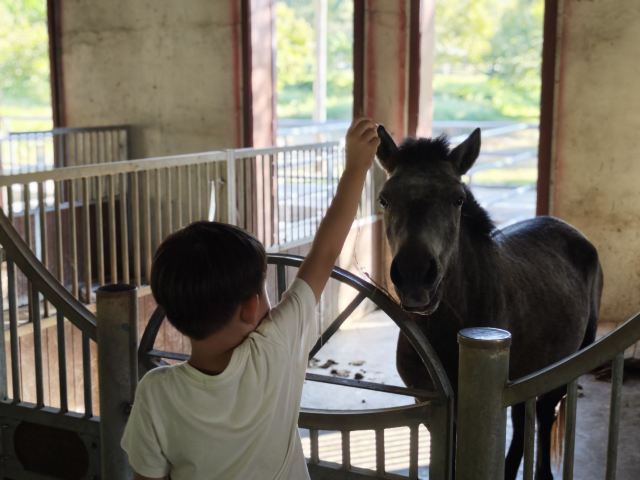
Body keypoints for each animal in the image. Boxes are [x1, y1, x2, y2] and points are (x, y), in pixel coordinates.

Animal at [375, 125, 603, 480]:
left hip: (566, 361)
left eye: (458, 199)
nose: (415, 275)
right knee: (523, 423)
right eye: (384, 198)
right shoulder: (430, 405)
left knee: (543, 415)